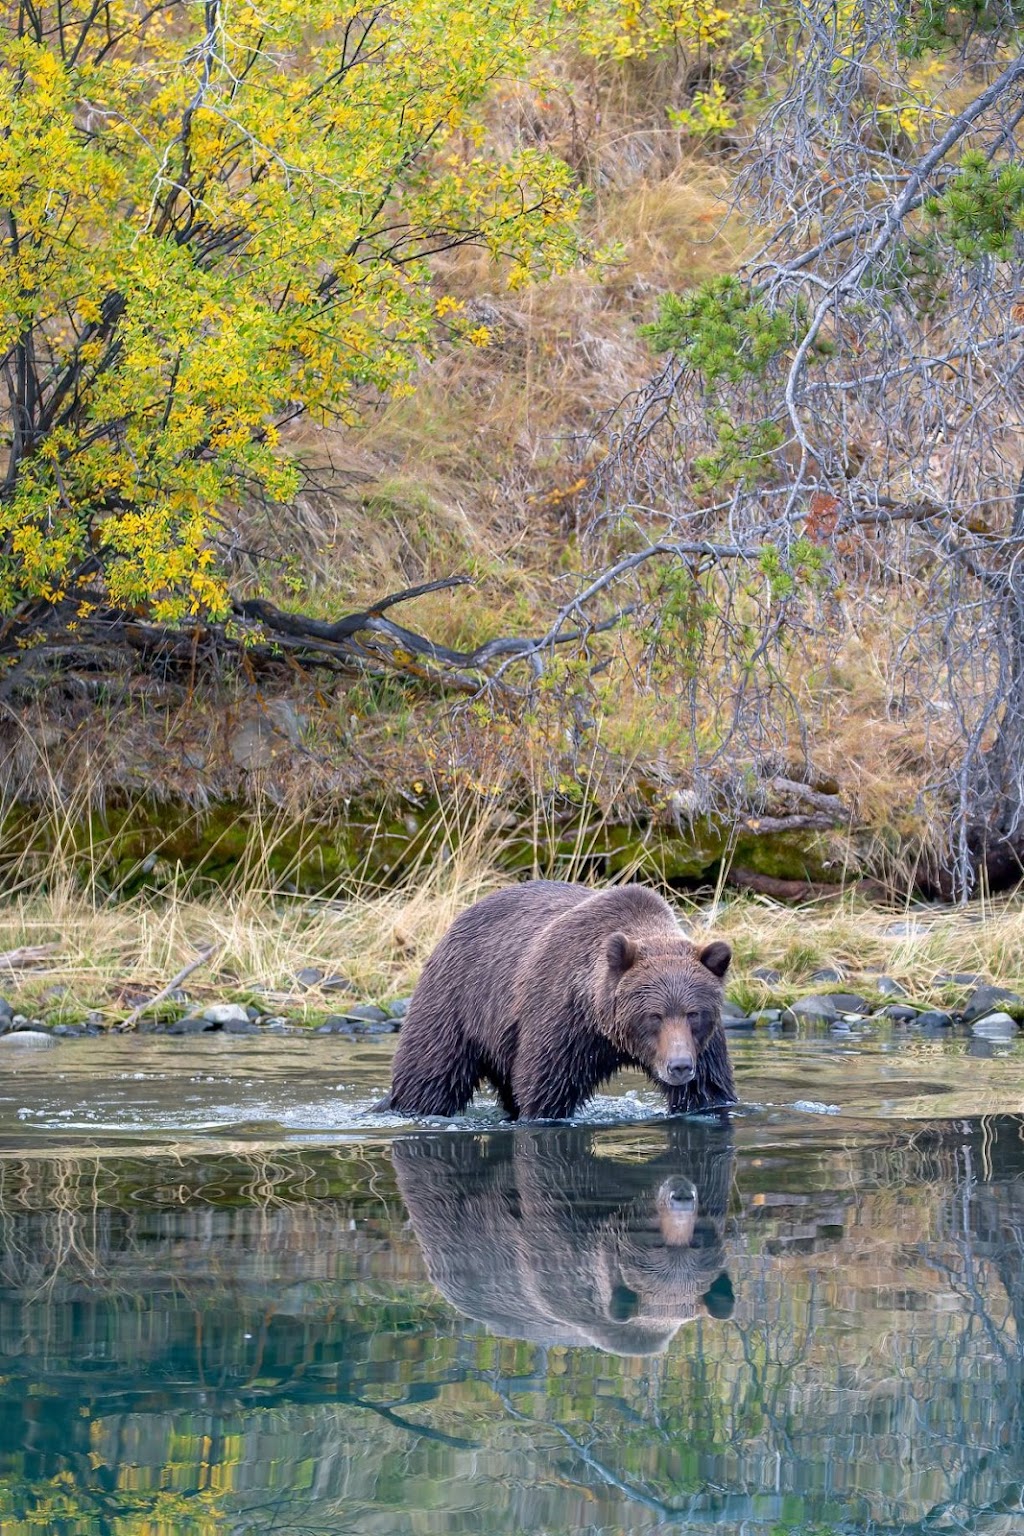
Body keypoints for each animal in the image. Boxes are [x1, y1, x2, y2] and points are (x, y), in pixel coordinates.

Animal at [379, 884, 736, 1124]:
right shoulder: (561, 1021)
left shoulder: (704, 1045)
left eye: (694, 1013)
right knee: (431, 1076)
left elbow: (708, 1092)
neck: (605, 1030)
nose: (679, 1065)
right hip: (456, 1002)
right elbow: (546, 1090)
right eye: (654, 1015)